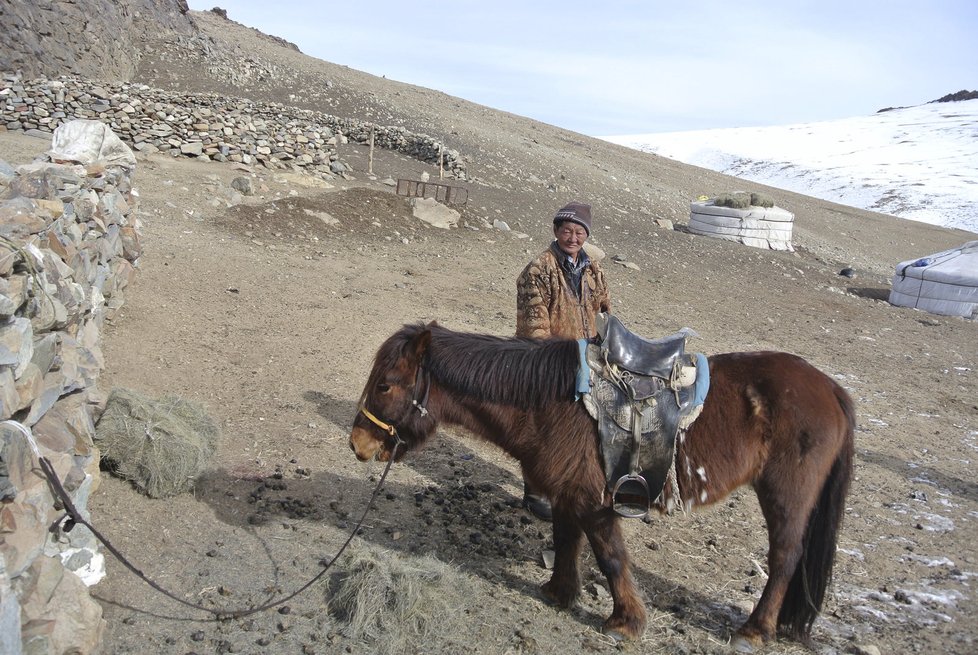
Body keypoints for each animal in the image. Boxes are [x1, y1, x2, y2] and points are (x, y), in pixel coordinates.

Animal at [346, 320, 852, 648]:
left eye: (386, 385)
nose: (358, 443)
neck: (548, 401)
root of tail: (829, 387)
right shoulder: (567, 492)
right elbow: (566, 539)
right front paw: (558, 592)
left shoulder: (594, 500)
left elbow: (609, 556)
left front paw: (625, 621)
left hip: (784, 493)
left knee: (785, 557)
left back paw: (753, 630)